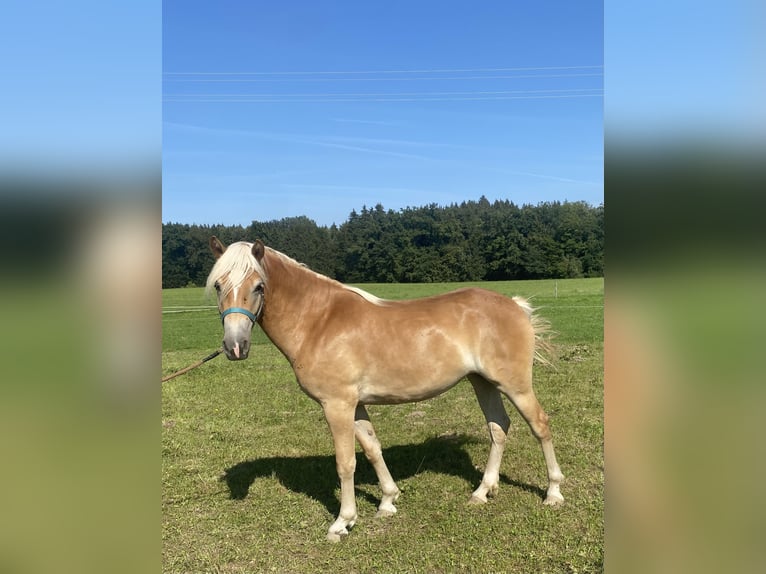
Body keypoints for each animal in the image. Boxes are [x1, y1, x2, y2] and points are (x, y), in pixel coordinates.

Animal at [204, 236, 564, 544]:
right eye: (219, 285)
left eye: (258, 286)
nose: (235, 346)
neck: (319, 321)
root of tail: (515, 306)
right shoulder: (356, 405)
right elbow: (372, 448)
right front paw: (388, 501)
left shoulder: (337, 405)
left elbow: (345, 462)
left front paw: (342, 522)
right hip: (483, 382)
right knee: (498, 427)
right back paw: (482, 492)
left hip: (514, 385)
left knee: (540, 425)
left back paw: (553, 493)